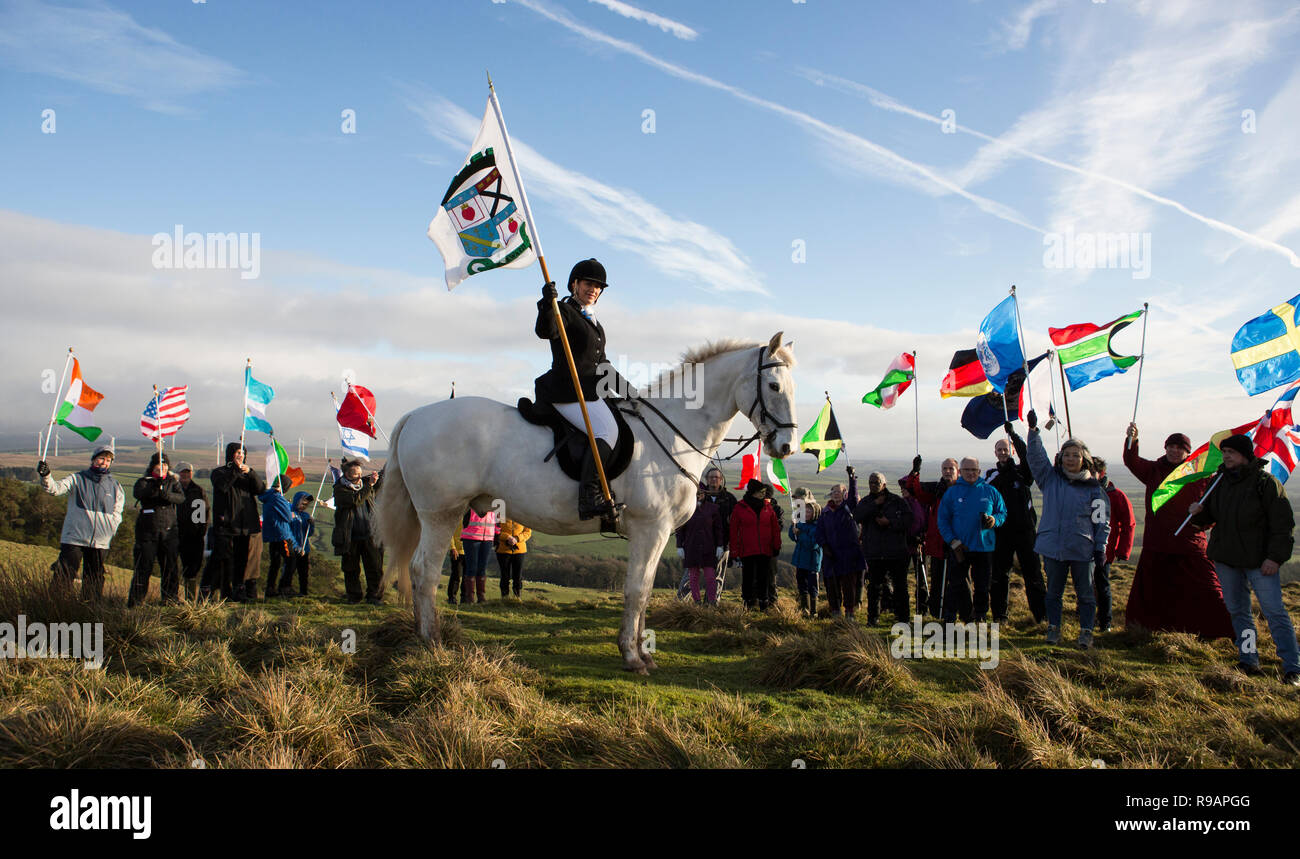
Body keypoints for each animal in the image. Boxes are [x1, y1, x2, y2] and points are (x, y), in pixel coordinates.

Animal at [377, 331, 795, 675]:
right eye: (774, 385)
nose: (787, 446)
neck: (672, 432)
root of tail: (416, 414)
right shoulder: (650, 528)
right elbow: (636, 591)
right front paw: (632, 656)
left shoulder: (658, 534)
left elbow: (644, 590)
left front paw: (643, 654)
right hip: (440, 514)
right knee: (424, 572)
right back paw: (432, 642)